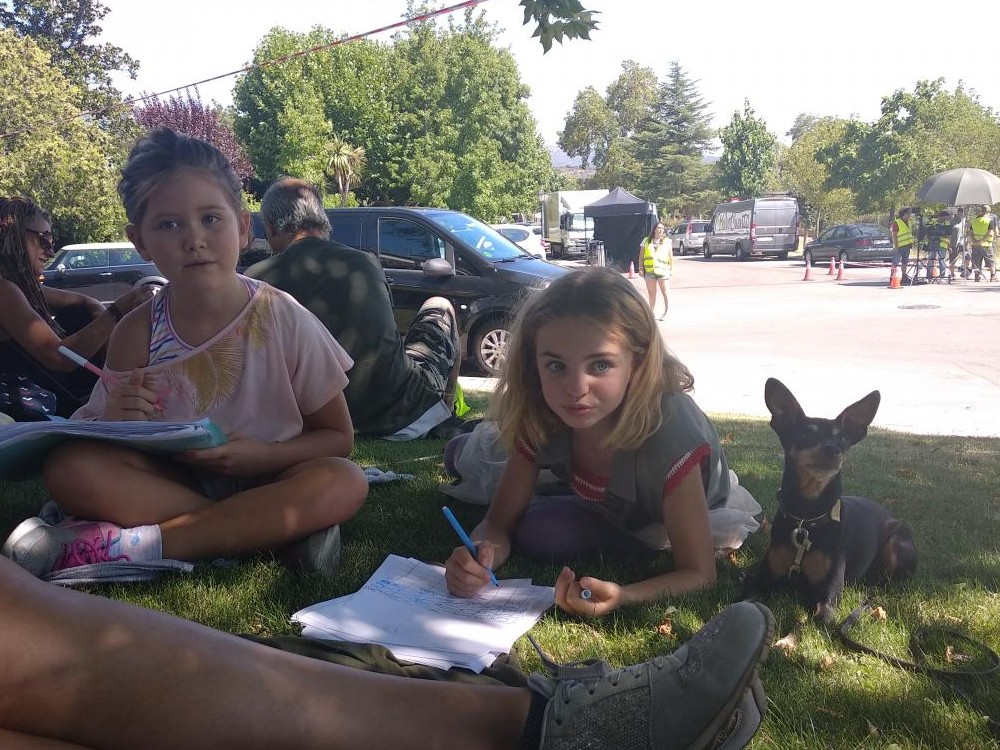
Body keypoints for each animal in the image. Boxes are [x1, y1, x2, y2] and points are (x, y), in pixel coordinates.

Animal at [746, 378, 918, 623]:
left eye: (842, 438)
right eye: (805, 434)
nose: (832, 449)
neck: (807, 518)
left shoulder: (828, 597)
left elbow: (818, 619)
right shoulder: (761, 582)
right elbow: (748, 602)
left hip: (896, 545)